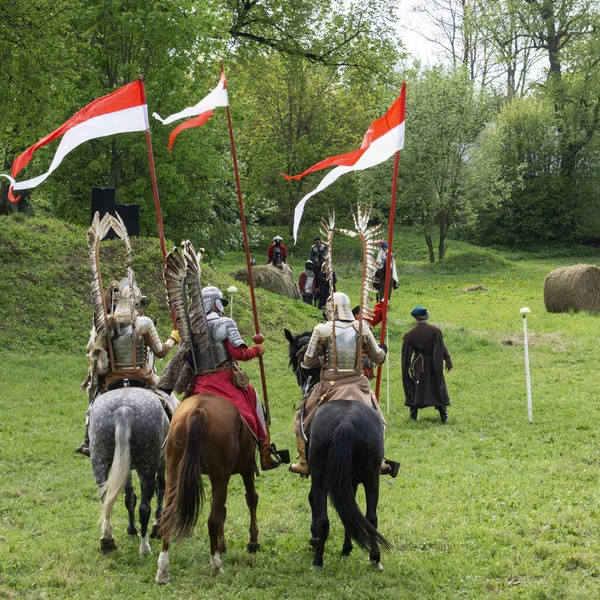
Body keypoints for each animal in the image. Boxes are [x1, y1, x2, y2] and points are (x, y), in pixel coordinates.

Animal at [88, 386, 171, 556]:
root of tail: (124, 409)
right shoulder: (161, 462)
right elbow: (160, 488)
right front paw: (157, 526)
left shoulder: (124, 468)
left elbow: (129, 497)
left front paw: (132, 529)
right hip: (147, 467)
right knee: (145, 507)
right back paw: (145, 548)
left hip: (100, 462)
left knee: (106, 500)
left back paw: (107, 539)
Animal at [155, 392, 258, 584]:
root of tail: (198, 411)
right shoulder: (246, 468)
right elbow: (251, 498)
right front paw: (253, 542)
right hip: (221, 476)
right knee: (213, 520)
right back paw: (215, 566)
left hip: (173, 470)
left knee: (167, 515)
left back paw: (163, 570)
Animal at [308, 400, 392, 568]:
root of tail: (346, 422)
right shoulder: (350, 484)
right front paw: (346, 549)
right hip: (372, 479)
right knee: (371, 518)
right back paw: (375, 557)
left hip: (321, 479)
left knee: (324, 520)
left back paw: (318, 560)